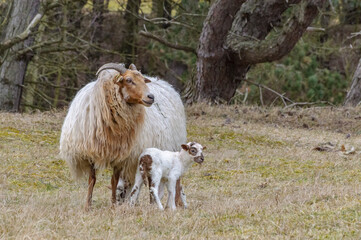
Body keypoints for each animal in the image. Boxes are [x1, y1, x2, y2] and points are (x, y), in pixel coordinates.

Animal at [58, 62, 186, 210]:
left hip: (169, 146)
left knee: (172, 179)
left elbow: (114, 180)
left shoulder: (121, 156)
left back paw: (173, 202)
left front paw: (113, 205)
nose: (151, 97)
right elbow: (92, 180)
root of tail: (165, 84)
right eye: (129, 80)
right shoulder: (90, 154)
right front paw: (87, 206)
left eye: (143, 79)